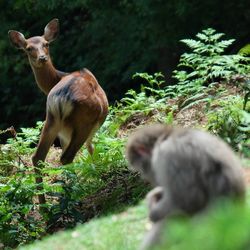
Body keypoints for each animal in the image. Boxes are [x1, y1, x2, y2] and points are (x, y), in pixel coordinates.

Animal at [8, 19, 108, 203]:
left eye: (46, 44)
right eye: (28, 48)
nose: (42, 57)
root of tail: (62, 96)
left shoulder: (62, 133)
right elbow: (91, 147)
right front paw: (98, 172)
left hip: (51, 119)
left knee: (37, 157)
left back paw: (43, 203)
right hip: (84, 121)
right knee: (66, 156)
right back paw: (77, 191)